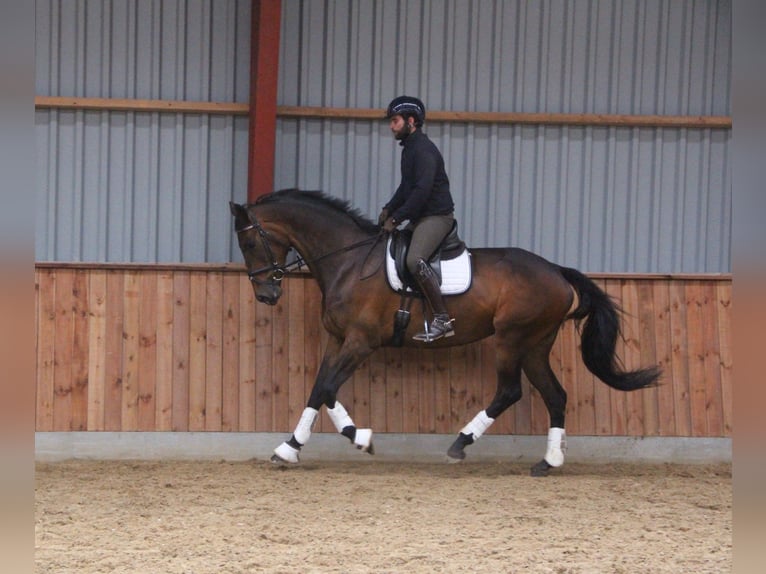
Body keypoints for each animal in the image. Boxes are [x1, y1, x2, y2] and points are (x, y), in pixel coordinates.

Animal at [231, 189, 664, 476]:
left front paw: (359, 438)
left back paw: (460, 444)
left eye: (250, 241)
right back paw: (548, 461)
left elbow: (326, 389)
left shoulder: (361, 342)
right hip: (536, 344)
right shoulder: (338, 340)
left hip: (511, 339)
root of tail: (557, 271)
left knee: (509, 391)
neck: (349, 261)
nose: (266, 294)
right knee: (555, 395)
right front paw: (291, 447)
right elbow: (320, 389)